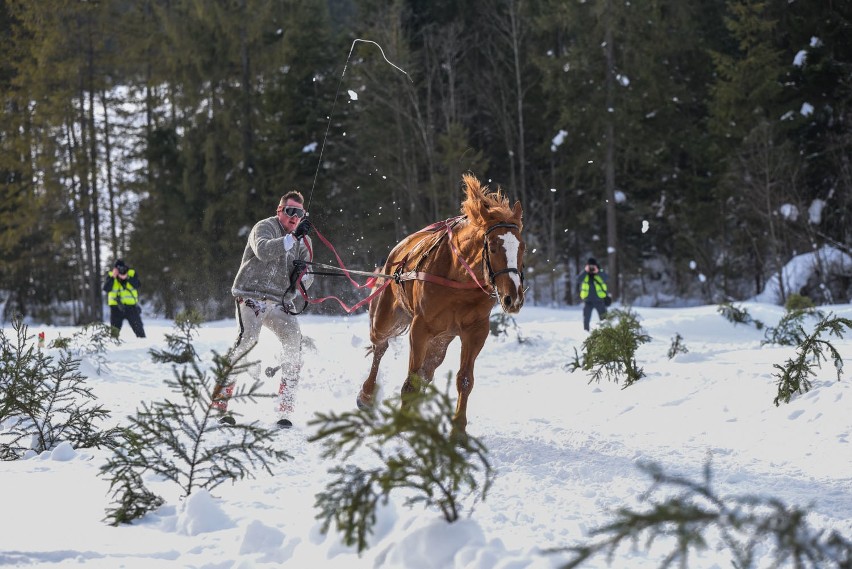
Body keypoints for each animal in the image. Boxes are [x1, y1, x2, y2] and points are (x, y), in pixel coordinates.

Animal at [354, 175, 524, 432]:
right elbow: (411, 380)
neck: (459, 278)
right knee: (379, 347)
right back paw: (366, 394)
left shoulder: (476, 331)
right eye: (493, 247)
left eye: (522, 248)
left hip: (441, 339)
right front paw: (404, 422)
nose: (512, 297)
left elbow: (464, 379)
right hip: (386, 319)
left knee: (427, 369)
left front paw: (458, 429)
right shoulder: (420, 327)